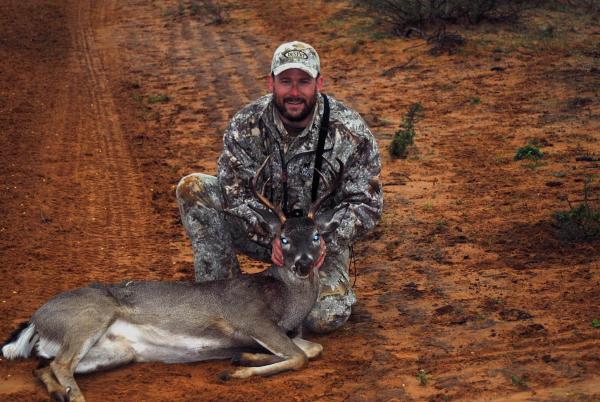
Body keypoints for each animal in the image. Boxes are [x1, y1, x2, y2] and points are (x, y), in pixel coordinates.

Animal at [1, 156, 342, 402]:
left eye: (316, 236)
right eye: (283, 239)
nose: (303, 263)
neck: (286, 300)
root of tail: (36, 319)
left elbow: (313, 349)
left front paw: (243, 357)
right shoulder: (251, 317)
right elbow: (300, 357)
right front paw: (236, 371)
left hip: (114, 351)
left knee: (45, 366)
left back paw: (60, 393)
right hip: (87, 318)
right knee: (59, 364)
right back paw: (73, 396)